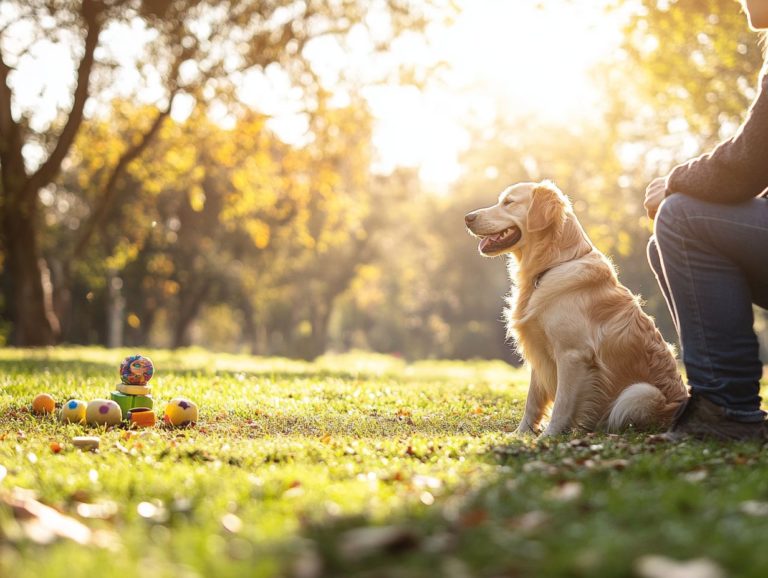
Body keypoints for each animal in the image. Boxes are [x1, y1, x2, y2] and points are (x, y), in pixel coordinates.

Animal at [462, 180, 684, 432]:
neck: (552, 265)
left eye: (509, 202)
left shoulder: (573, 355)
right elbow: (532, 401)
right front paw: (521, 433)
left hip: (638, 393)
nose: (467, 218)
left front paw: (550, 435)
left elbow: (562, 403)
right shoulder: (539, 350)